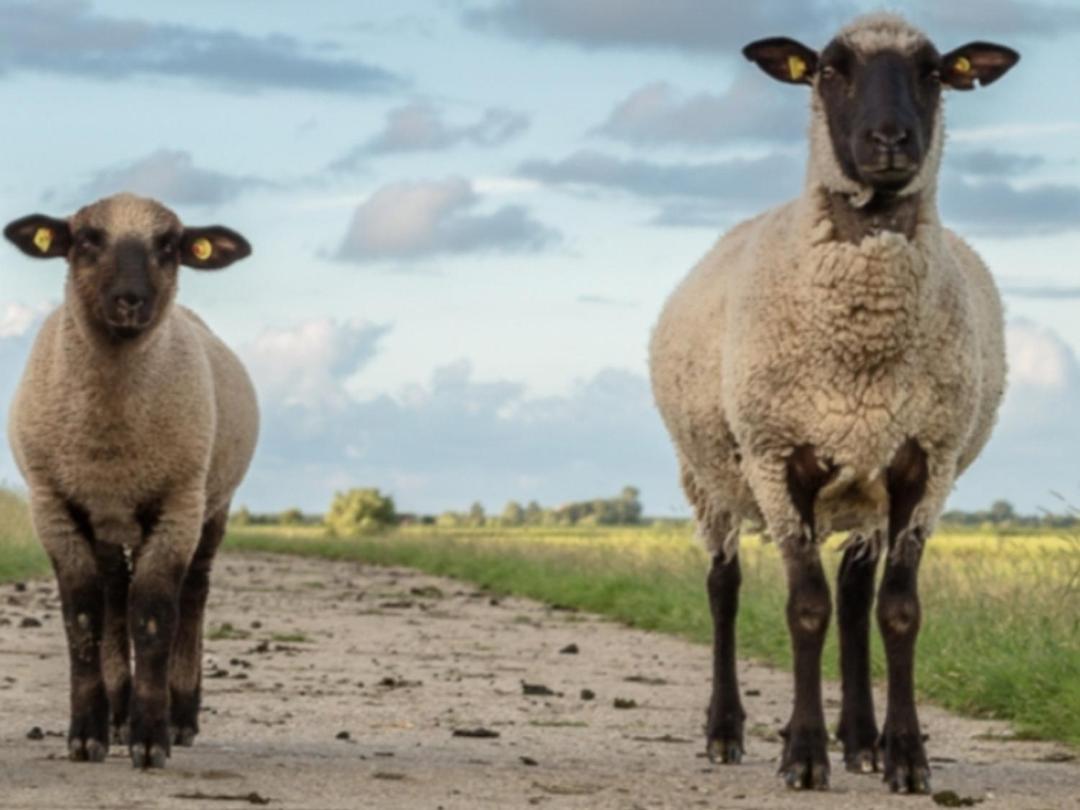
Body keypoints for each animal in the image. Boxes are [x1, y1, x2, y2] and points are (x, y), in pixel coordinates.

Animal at [3, 193, 259, 768]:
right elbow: (84, 616)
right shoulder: (54, 505)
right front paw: (88, 735)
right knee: (114, 594)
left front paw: (151, 739)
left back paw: (181, 716)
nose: (129, 301)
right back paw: (117, 714)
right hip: (109, 517)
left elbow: (155, 614)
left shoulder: (177, 502)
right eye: (86, 239)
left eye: (169, 245)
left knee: (193, 594)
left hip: (212, 502)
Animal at [648, 14, 1019, 799]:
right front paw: (804, 756)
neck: (863, 340)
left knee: (853, 595)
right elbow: (804, 610)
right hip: (712, 480)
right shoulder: (777, 460)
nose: (890, 140)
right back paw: (727, 732)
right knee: (724, 586)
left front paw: (903, 756)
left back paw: (861, 739)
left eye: (934, 72)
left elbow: (896, 611)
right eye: (827, 70)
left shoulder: (922, 467)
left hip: (862, 487)